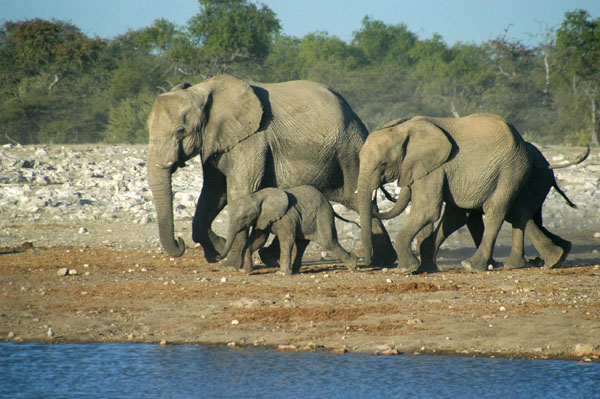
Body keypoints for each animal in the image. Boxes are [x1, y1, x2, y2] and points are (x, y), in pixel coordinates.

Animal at [219, 187, 356, 276]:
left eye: (245, 217)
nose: (217, 256)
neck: (259, 196)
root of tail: (329, 203)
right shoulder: (262, 218)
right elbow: (258, 240)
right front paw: (245, 271)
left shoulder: (285, 217)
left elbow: (286, 240)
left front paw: (282, 273)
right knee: (301, 244)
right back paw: (295, 270)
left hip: (322, 216)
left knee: (329, 241)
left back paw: (353, 265)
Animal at [356, 114, 528, 274]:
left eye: (383, 164)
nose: (367, 263)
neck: (402, 129)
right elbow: (424, 212)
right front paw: (422, 269)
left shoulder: (435, 168)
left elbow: (427, 209)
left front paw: (406, 269)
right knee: (457, 216)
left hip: (510, 169)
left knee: (495, 210)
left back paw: (472, 265)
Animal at [378, 142, 588, 274]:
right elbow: (461, 217)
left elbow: (460, 216)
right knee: (524, 216)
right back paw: (556, 255)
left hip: (529, 181)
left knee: (517, 214)